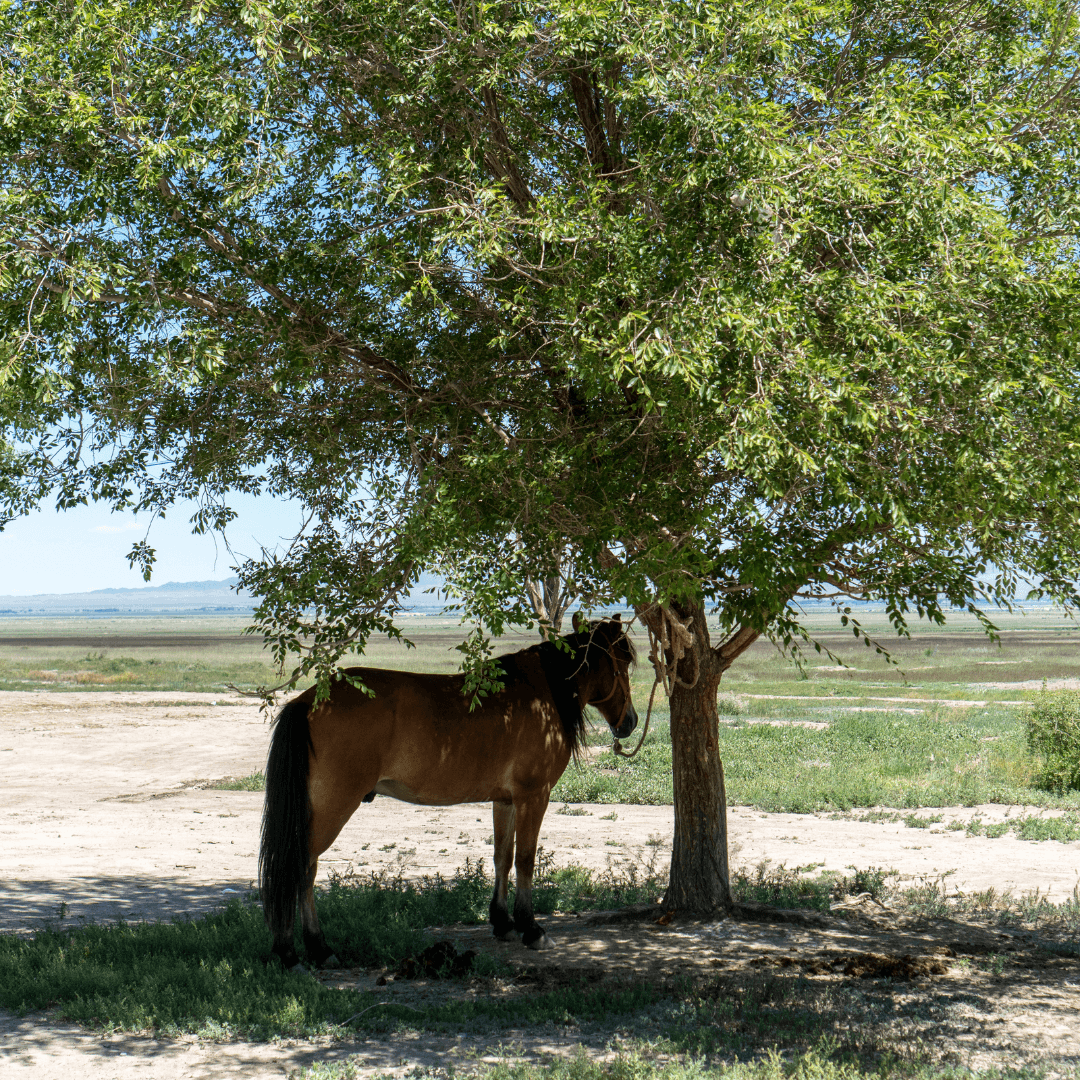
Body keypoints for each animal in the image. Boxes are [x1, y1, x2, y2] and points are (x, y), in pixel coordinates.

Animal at [258, 617, 635, 972]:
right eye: (625, 661)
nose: (629, 722)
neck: (541, 693)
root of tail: (308, 700)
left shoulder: (506, 800)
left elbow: (503, 857)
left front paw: (503, 923)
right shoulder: (533, 796)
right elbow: (526, 860)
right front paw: (532, 929)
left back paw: (309, 950)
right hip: (331, 808)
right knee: (301, 868)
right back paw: (301, 952)